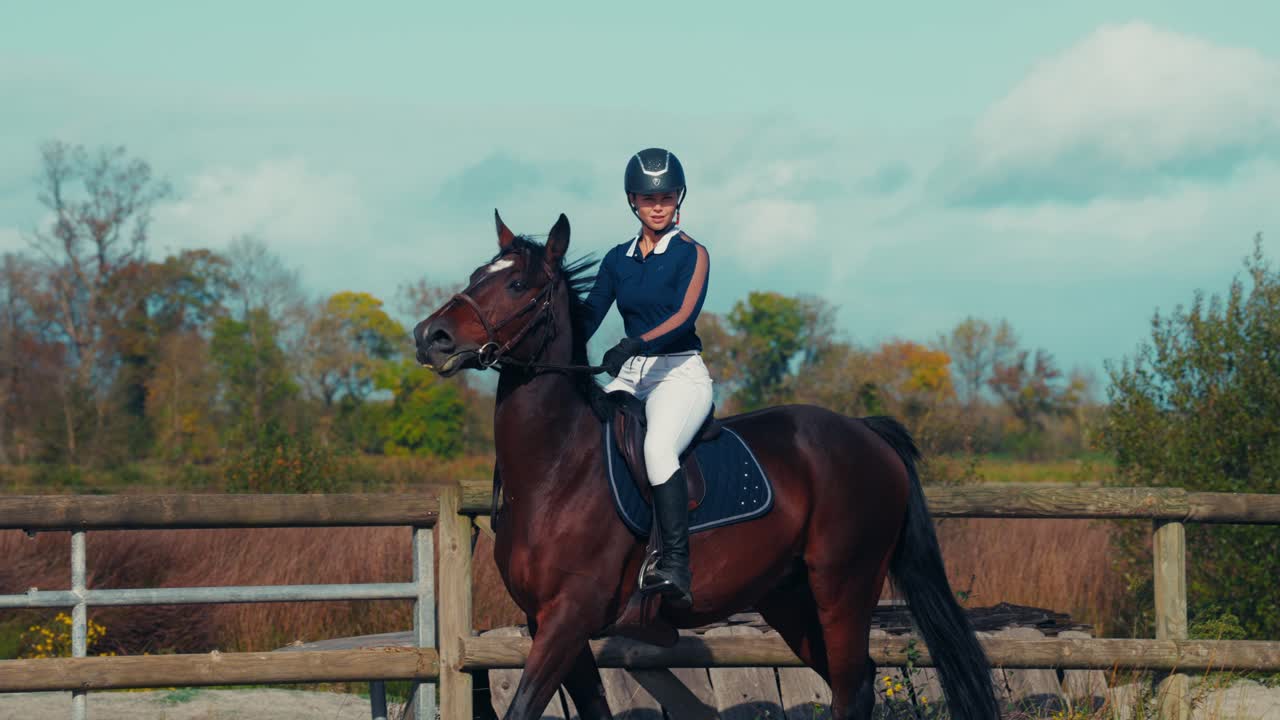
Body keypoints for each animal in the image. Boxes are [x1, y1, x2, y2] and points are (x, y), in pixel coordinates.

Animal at [413, 212, 999, 720]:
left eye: (517, 286)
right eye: (476, 275)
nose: (429, 337)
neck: (556, 470)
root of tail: (864, 431)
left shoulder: (569, 616)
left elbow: (522, 708)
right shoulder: (546, 622)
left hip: (844, 587)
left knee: (852, 688)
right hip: (788, 598)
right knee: (850, 685)